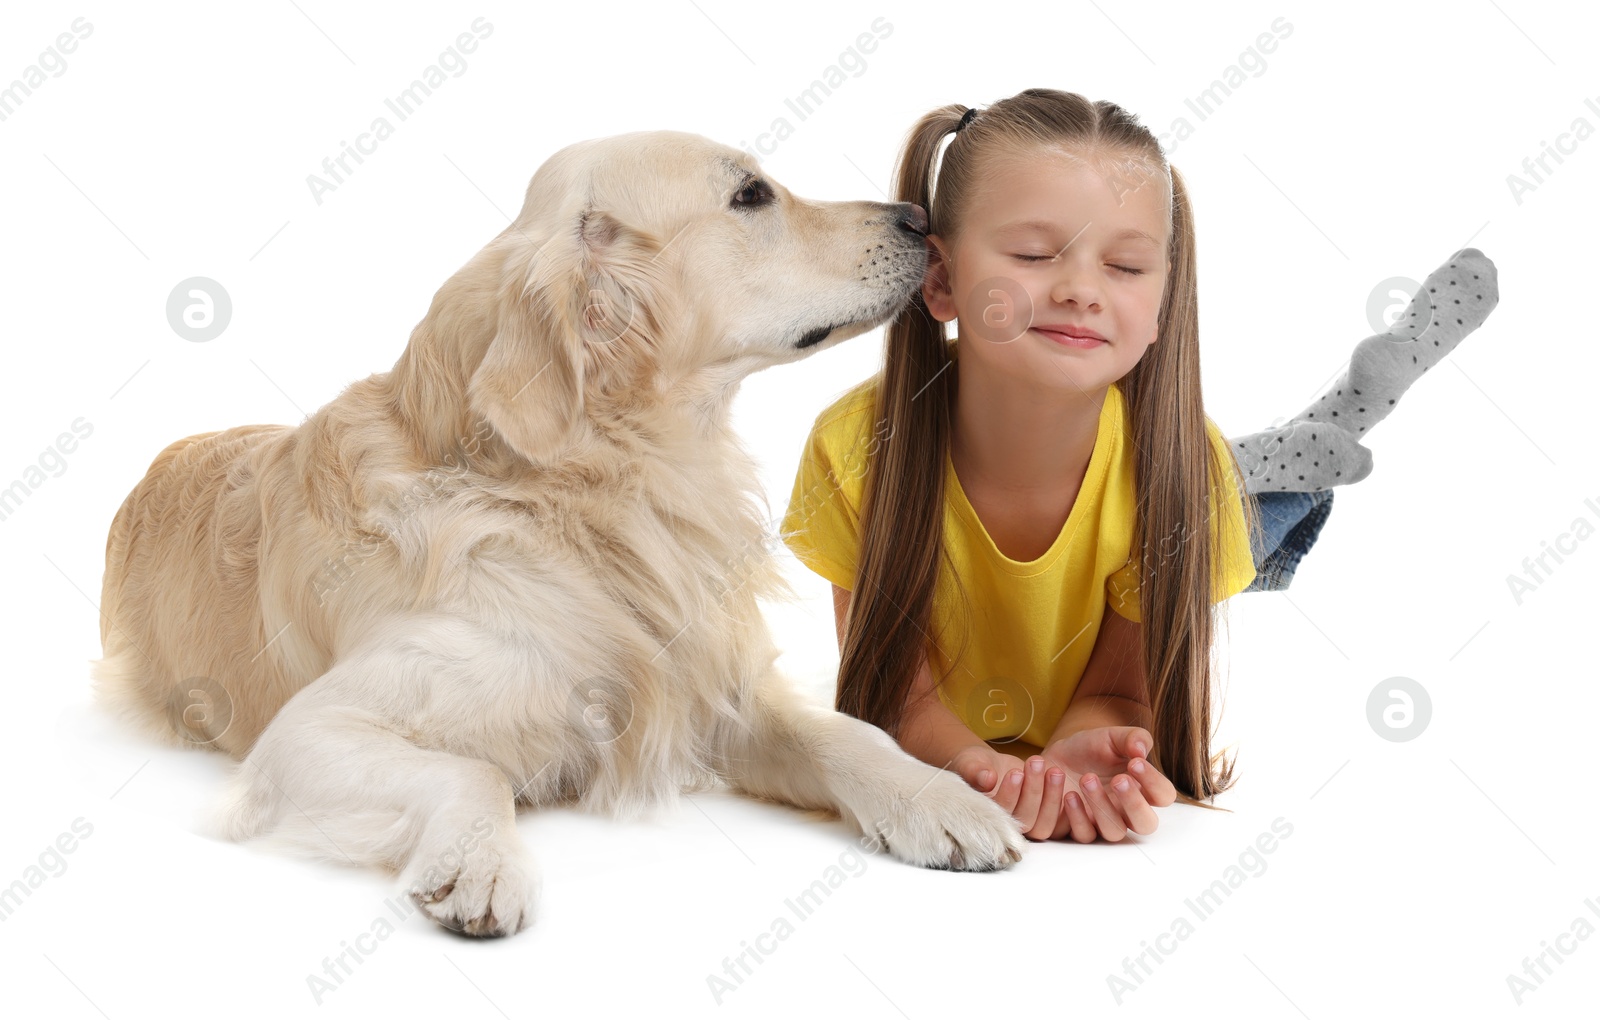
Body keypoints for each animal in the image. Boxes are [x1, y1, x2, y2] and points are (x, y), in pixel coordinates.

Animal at [93, 131, 1024, 940]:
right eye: (751, 195)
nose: (918, 216)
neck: (587, 488)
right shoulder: (308, 733)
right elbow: (473, 769)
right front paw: (480, 866)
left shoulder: (714, 688)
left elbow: (842, 731)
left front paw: (942, 801)